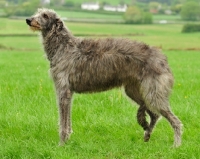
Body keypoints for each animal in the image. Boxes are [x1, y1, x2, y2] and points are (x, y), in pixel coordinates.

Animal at [25, 8, 182, 147]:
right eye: (37, 12)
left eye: (45, 15)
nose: (28, 20)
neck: (62, 46)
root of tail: (162, 58)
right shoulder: (67, 92)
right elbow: (67, 121)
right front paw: (67, 141)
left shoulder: (63, 91)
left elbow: (63, 123)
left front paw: (62, 144)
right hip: (135, 91)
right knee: (155, 115)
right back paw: (147, 136)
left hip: (153, 93)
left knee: (175, 121)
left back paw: (176, 145)